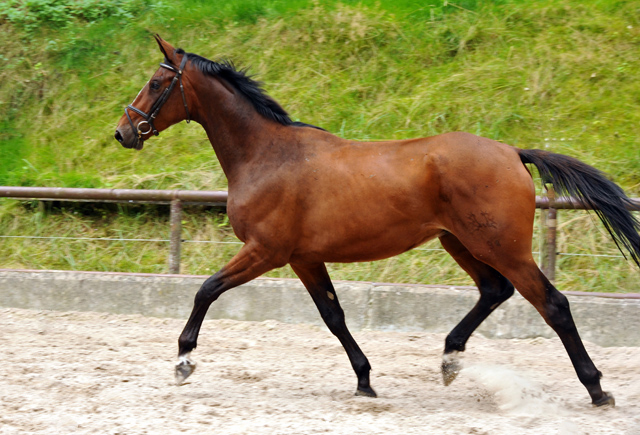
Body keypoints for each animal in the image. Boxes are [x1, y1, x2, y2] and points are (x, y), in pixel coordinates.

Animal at [112, 35, 636, 408]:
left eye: (156, 83)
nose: (123, 132)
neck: (266, 155)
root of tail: (512, 152)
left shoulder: (265, 251)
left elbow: (206, 290)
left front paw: (183, 361)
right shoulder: (304, 258)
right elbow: (334, 316)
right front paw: (364, 380)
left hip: (501, 247)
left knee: (553, 304)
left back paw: (597, 389)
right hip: (459, 242)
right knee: (495, 290)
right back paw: (450, 359)